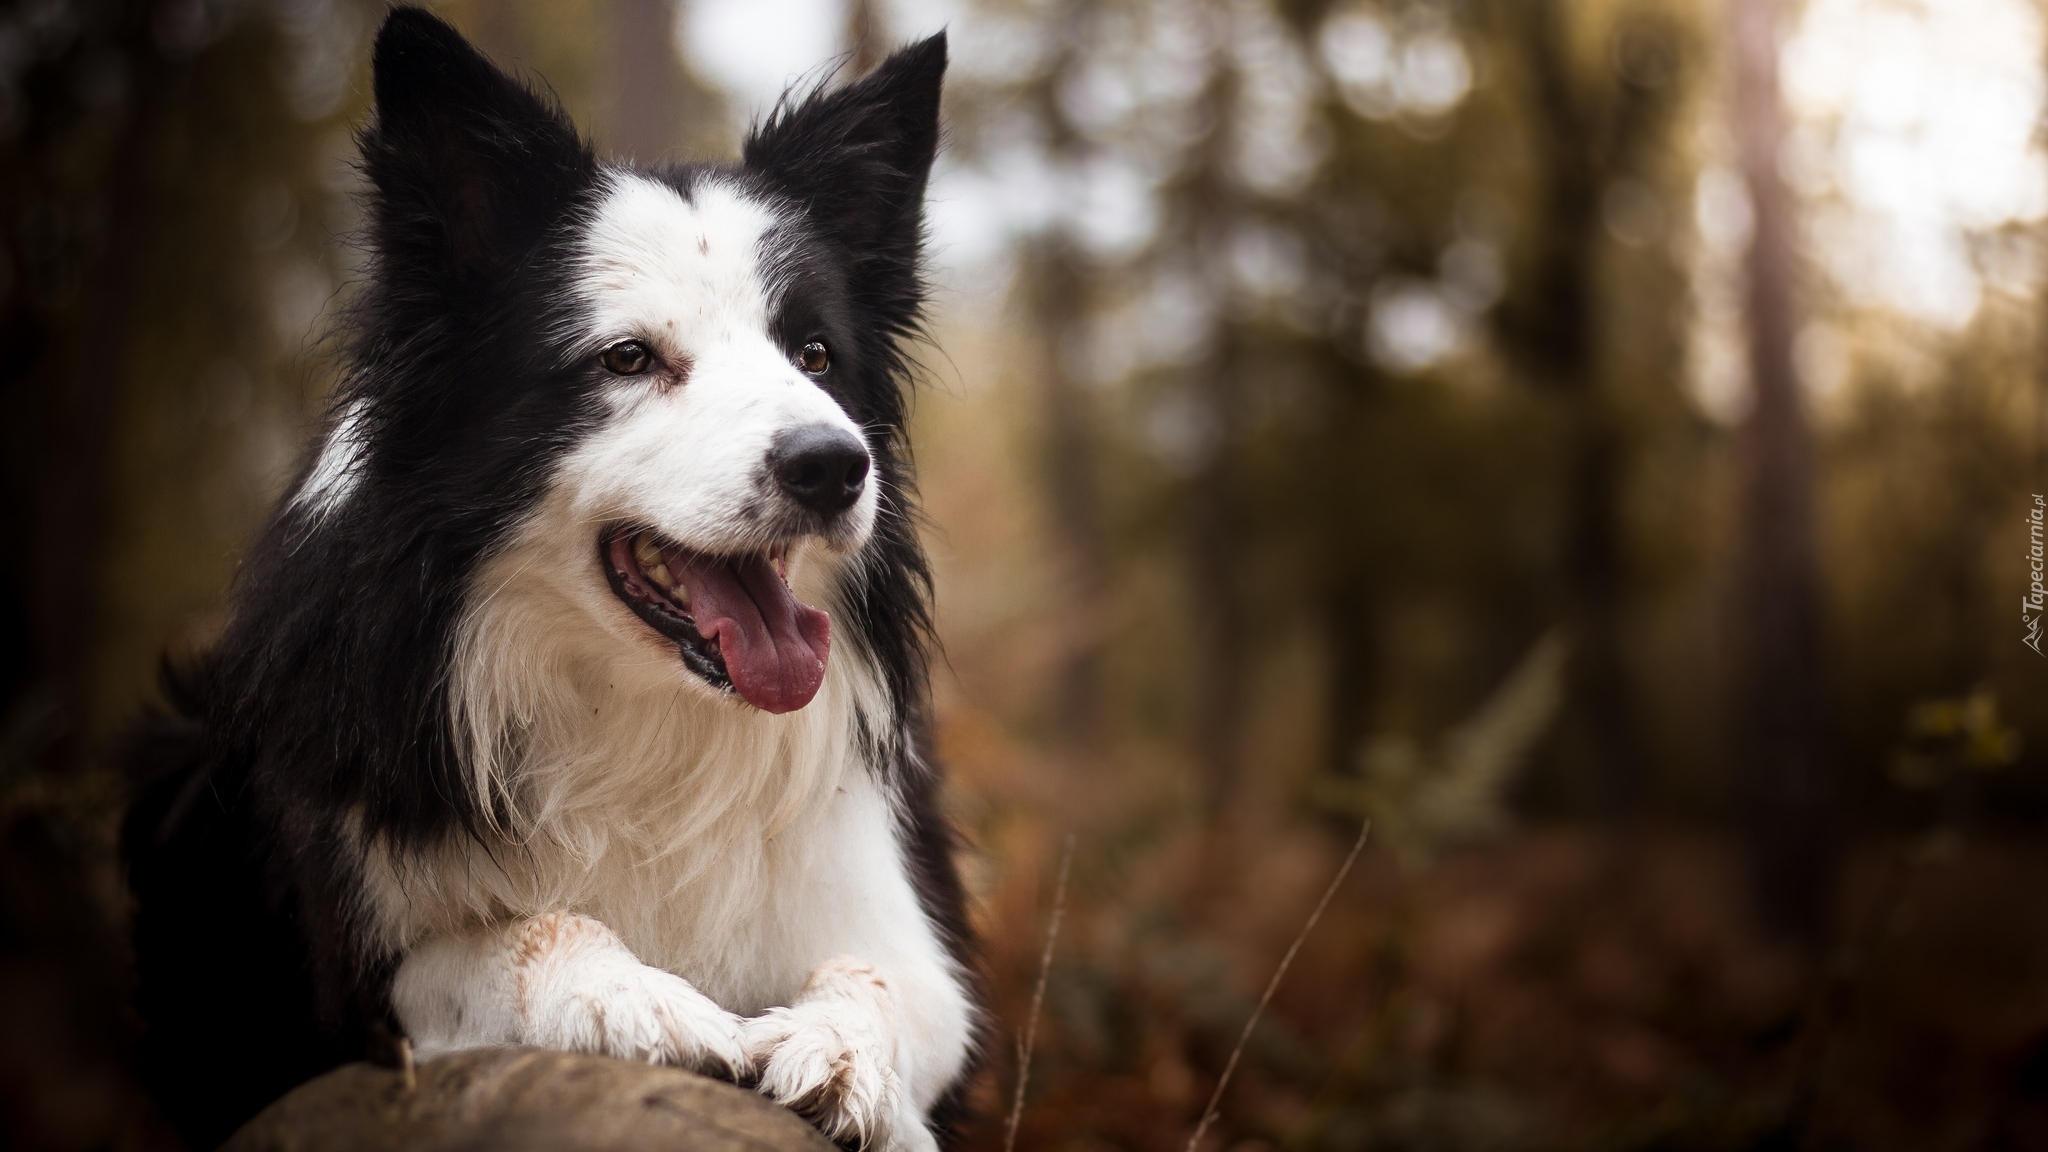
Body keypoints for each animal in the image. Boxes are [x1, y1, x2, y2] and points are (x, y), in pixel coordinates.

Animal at [123, 11, 978, 1147]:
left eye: (815, 355)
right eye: (627, 359)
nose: (833, 466)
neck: (647, 726)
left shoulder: (891, 913)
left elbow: (883, 983)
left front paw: (841, 1052)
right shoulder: (359, 971)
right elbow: (513, 935)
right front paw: (641, 1002)